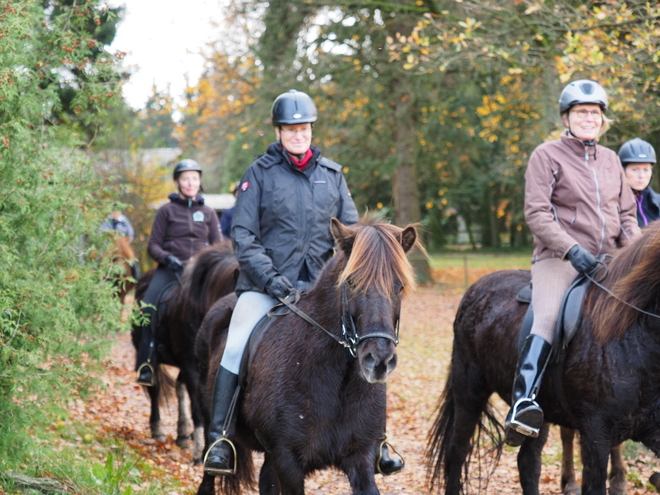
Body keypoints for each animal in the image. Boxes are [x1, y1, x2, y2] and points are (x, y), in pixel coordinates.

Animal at [130, 242, 238, 464]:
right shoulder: (192, 367)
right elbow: (198, 406)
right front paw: (199, 452)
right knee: (155, 387)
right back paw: (158, 429)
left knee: (179, 387)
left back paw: (182, 433)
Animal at [193, 220, 418, 495]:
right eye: (352, 282)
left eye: (399, 286)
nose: (379, 361)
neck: (337, 382)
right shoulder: (288, 460)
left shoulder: (360, 457)